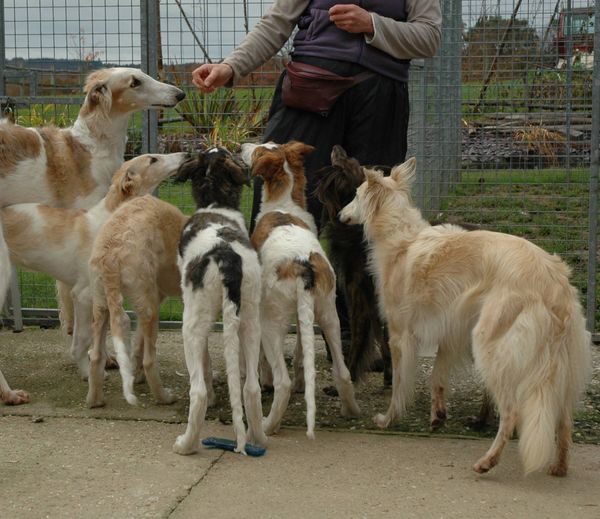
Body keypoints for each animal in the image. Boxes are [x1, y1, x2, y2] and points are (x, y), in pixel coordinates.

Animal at [1, 152, 189, 380]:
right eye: (153, 160)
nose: (186, 154)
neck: (112, 220)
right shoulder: (82, 295)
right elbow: (81, 340)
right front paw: (87, 373)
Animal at [173, 147, 268, 456]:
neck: (216, 203)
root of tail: (227, 257)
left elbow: (204, 364)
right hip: (250, 318)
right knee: (251, 388)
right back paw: (259, 439)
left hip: (191, 322)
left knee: (198, 391)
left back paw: (186, 444)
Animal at [240, 141, 360, 438]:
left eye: (258, 151)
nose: (241, 146)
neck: (285, 206)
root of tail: (304, 266)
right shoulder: (305, 318)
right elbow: (299, 354)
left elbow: (263, 362)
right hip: (329, 316)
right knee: (343, 372)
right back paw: (351, 411)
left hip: (271, 322)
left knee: (281, 382)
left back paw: (268, 425)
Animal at [340, 159, 592, 480]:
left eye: (356, 195)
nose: (340, 214)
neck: (402, 239)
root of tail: (553, 280)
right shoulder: (451, 334)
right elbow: (436, 377)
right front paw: (437, 416)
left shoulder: (399, 335)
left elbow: (398, 383)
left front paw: (388, 419)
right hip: (560, 366)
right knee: (564, 419)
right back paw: (559, 466)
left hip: (491, 349)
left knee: (512, 413)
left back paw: (487, 461)